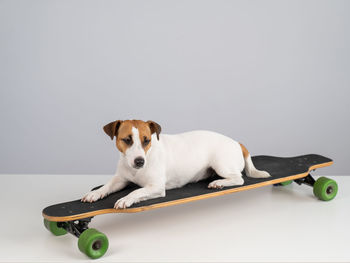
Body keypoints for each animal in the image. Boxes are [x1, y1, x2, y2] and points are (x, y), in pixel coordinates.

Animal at [82, 120, 270, 209]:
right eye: (127, 140)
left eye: (146, 140)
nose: (139, 161)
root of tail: (237, 142)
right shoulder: (120, 179)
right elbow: (107, 186)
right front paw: (94, 193)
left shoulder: (156, 187)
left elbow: (136, 191)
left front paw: (125, 199)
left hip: (221, 164)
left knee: (239, 179)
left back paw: (219, 183)